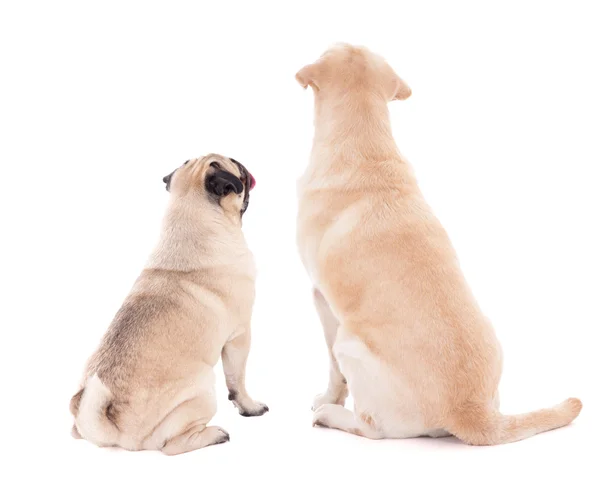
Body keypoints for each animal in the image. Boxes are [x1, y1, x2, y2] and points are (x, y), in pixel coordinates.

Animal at [69, 154, 268, 456]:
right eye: (235, 165)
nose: (244, 166)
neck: (192, 222)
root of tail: (114, 432)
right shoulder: (240, 335)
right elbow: (237, 381)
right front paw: (250, 407)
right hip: (204, 388)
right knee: (170, 446)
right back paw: (213, 435)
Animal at [296, 45, 580, 448]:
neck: (366, 150)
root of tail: (468, 408)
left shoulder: (321, 298)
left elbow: (334, 373)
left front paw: (327, 398)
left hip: (349, 343)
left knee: (371, 427)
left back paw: (330, 415)